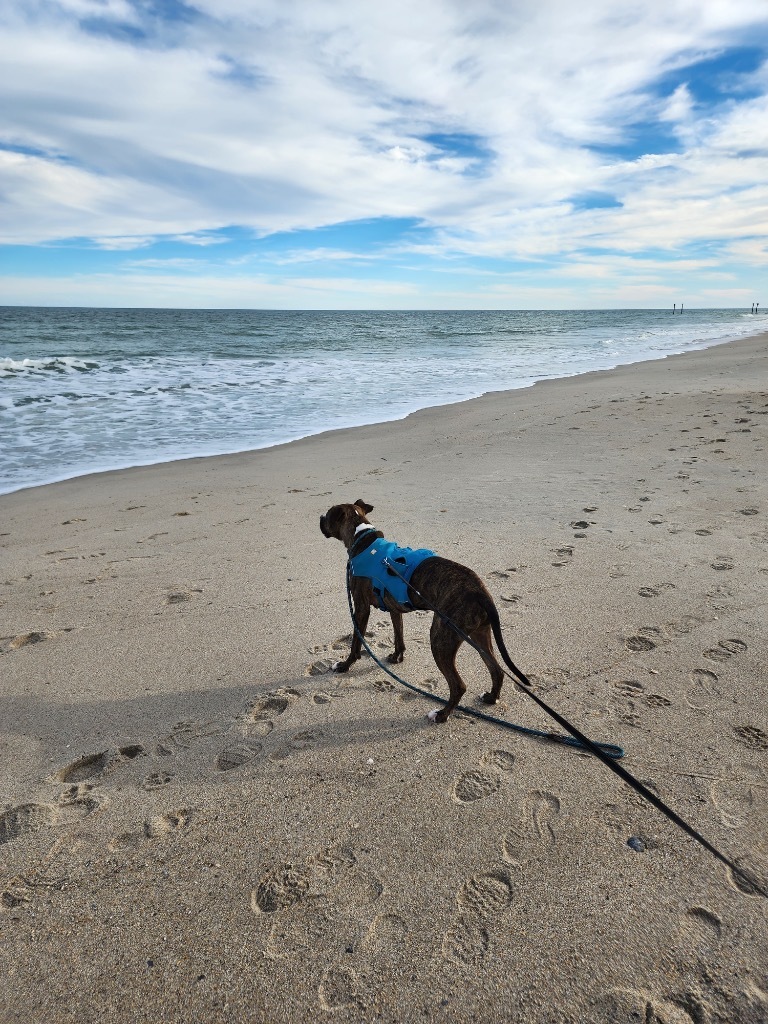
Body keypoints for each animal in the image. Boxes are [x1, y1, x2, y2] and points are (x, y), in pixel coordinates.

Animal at [319, 499, 524, 724]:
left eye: (327, 515)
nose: (319, 517)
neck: (361, 538)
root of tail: (480, 592)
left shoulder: (361, 608)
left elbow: (356, 642)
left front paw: (345, 665)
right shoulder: (394, 609)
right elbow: (398, 635)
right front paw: (397, 656)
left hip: (440, 639)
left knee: (458, 685)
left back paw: (442, 715)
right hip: (479, 635)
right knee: (497, 670)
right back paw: (491, 698)